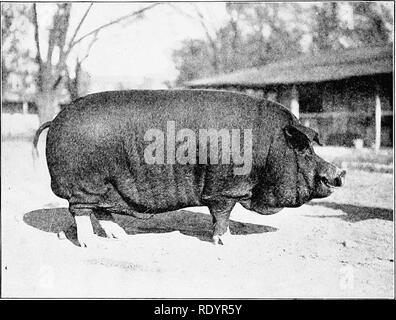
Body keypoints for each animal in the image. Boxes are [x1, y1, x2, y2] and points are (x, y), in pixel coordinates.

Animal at [33, 90, 344, 248]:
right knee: (80, 211)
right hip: (84, 184)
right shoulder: (223, 188)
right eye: (303, 149)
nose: (340, 173)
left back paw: (119, 237)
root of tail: (54, 120)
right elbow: (222, 214)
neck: (268, 148)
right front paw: (226, 242)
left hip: (108, 186)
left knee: (102, 210)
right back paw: (91, 244)